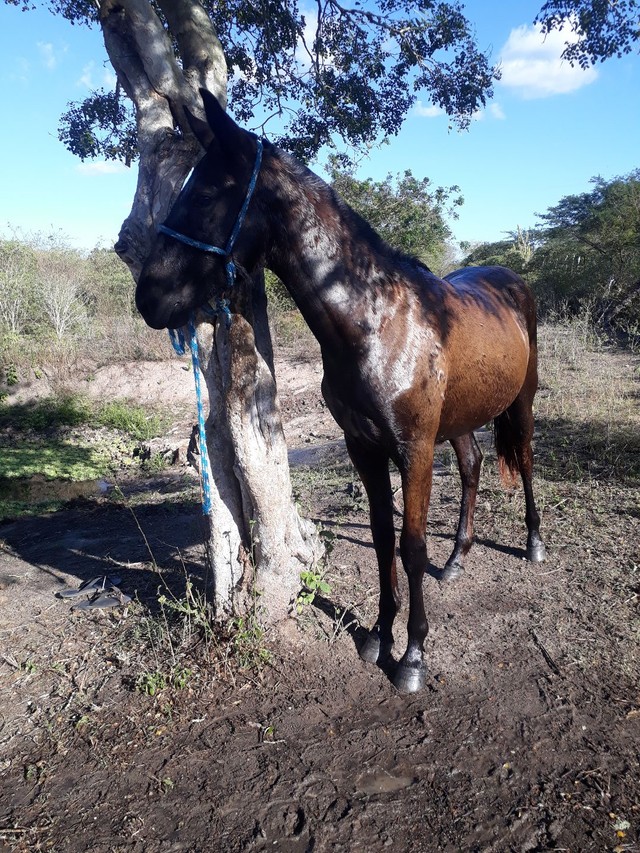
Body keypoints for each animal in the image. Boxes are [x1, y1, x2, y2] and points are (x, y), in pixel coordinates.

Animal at [135, 90, 544, 696]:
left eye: (206, 192)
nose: (149, 296)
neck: (377, 322)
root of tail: (510, 281)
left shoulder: (413, 450)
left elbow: (410, 545)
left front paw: (413, 657)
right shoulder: (364, 447)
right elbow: (380, 538)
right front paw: (378, 635)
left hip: (521, 402)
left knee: (527, 462)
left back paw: (534, 544)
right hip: (460, 418)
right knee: (471, 466)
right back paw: (456, 560)